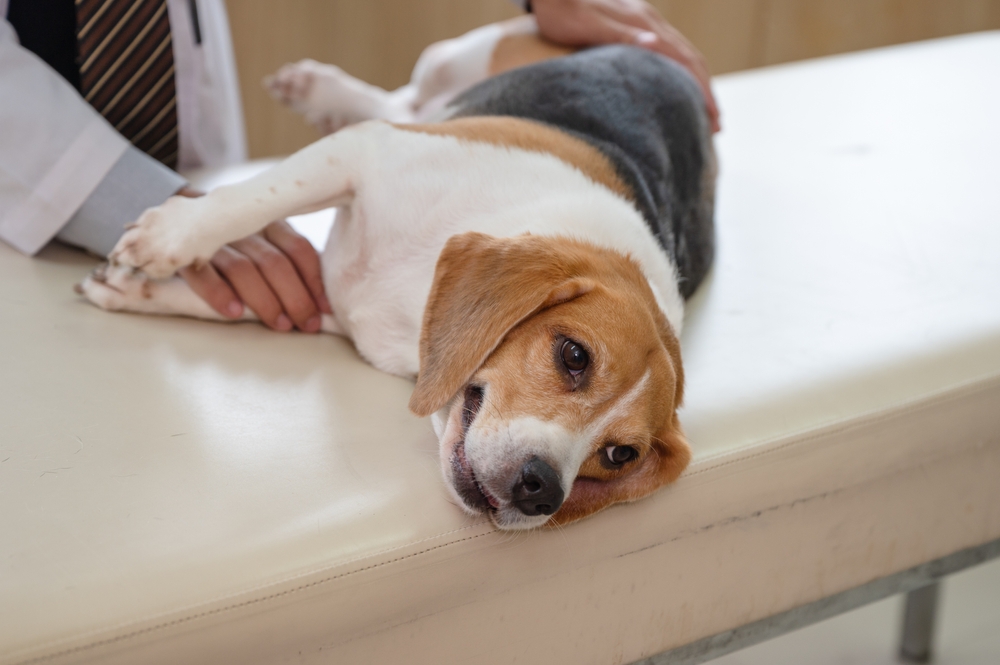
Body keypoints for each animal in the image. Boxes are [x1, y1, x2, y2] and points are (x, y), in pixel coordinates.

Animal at [82, 15, 716, 532]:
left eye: (619, 456)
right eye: (574, 355)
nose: (540, 490)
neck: (416, 296)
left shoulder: (326, 303)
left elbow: (232, 300)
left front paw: (137, 288)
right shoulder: (364, 152)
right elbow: (252, 199)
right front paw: (168, 240)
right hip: (454, 56)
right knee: (404, 102)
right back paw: (319, 87)